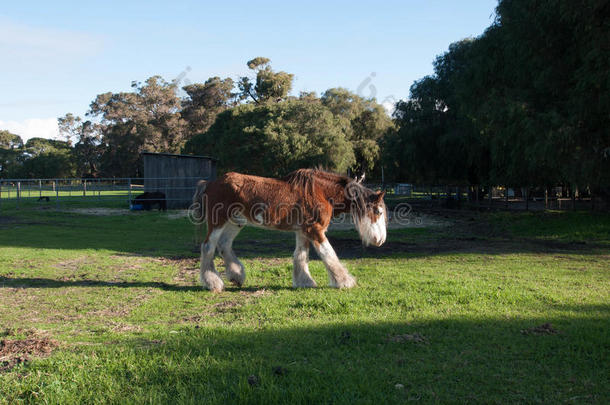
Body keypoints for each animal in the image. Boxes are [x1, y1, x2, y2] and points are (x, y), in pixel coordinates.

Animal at [191, 167, 384, 290]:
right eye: (378, 211)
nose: (379, 240)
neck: (320, 192)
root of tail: (210, 183)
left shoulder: (303, 231)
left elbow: (301, 255)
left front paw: (304, 282)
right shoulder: (315, 230)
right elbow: (328, 254)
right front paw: (344, 281)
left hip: (235, 222)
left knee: (224, 245)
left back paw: (236, 276)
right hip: (218, 221)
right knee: (208, 246)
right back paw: (212, 283)